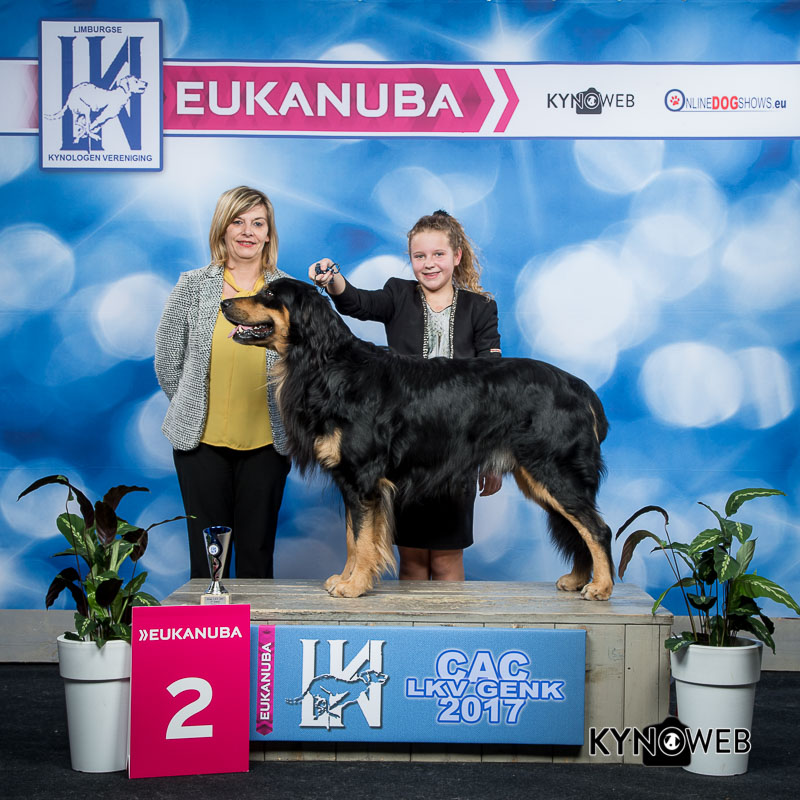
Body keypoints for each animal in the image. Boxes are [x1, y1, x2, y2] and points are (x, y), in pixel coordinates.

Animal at [220, 278, 614, 600]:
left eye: (270, 295)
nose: (225, 303)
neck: (328, 364)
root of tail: (579, 387)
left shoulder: (363, 477)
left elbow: (362, 538)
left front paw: (354, 585)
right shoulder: (353, 481)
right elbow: (352, 538)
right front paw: (346, 579)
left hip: (554, 470)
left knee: (597, 528)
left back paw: (601, 586)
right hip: (539, 477)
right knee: (578, 527)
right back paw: (578, 579)